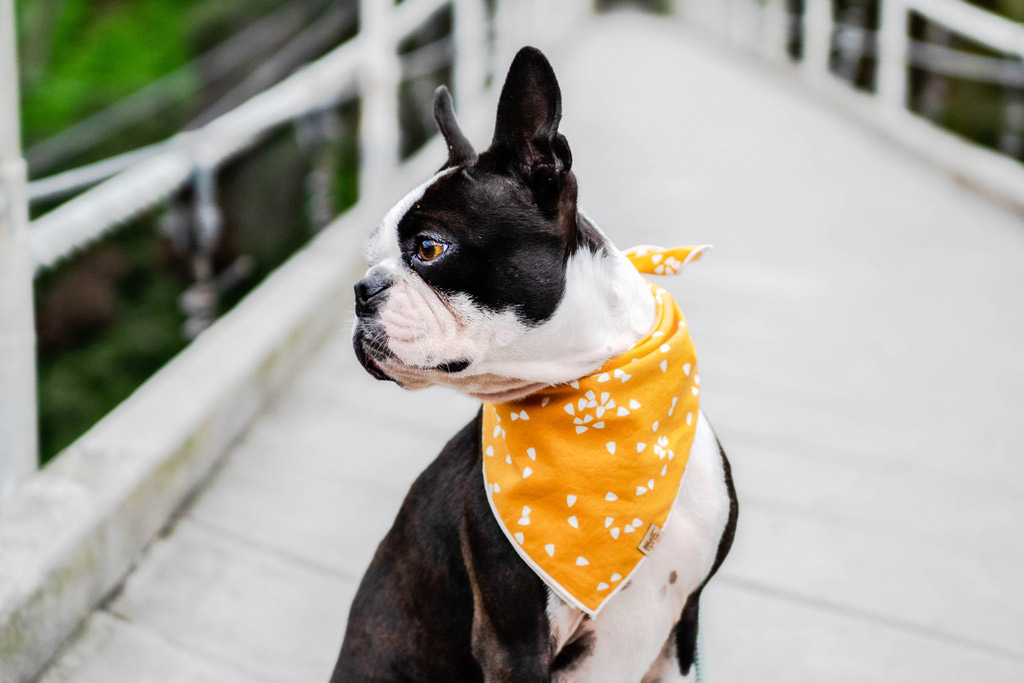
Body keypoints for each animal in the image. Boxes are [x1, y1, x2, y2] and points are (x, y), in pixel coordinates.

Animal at [335, 45, 737, 679]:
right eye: (371, 257)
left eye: (429, 249)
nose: (361, 289)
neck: (593, 394)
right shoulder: (513, 642)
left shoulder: (686, 624)